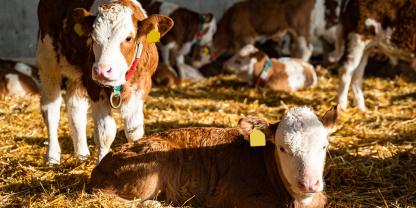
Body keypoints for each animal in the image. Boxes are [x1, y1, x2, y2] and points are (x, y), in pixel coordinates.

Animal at [35, 0, 172, 163]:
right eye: (93, 37)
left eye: (128, 38)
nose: (102, 70)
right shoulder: (94, 87)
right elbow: (105, 133)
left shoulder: (141, 86)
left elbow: (134, 130)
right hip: (47, 59)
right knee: (50, 108)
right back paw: (52, 157)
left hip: (76, 74)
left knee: (75, 106)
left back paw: (81, 154)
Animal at [91, 106, 338, 207]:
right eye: (282, 148)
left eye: (324, 146)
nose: (309, 183)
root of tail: (100, 166)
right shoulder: (230, 197)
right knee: (110, 197)